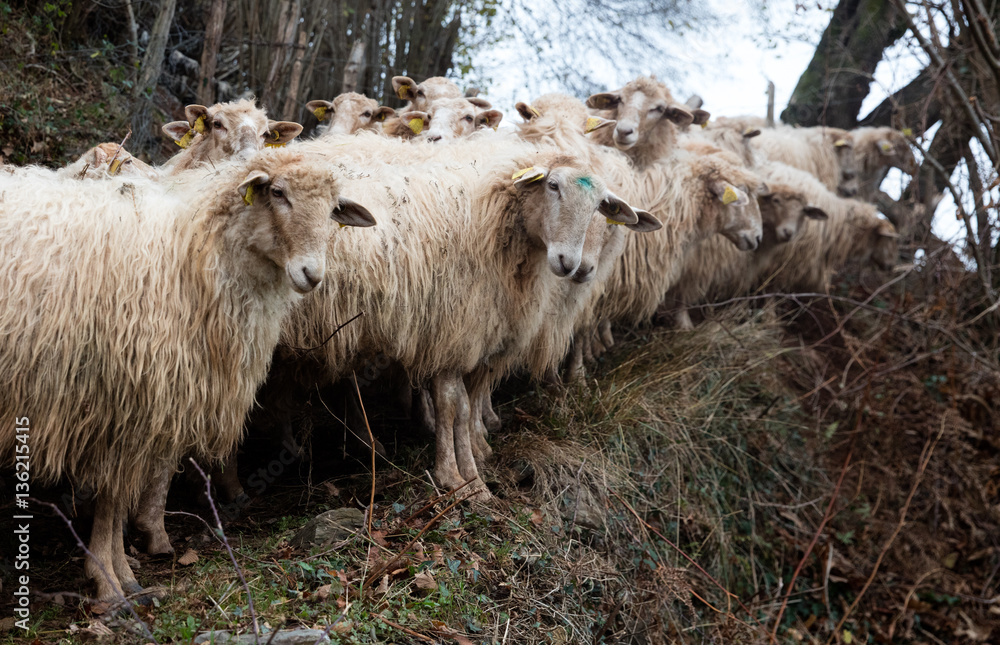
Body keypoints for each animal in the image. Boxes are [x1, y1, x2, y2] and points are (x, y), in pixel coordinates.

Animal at [0, 148, 376, 603]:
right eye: (277, 193)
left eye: (334, 207)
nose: (312, 274)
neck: (191, 254)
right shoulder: (120, 403)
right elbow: (112, 496)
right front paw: (108, 583)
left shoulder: (140, 409)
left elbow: (117, 498)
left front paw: (124, 576)